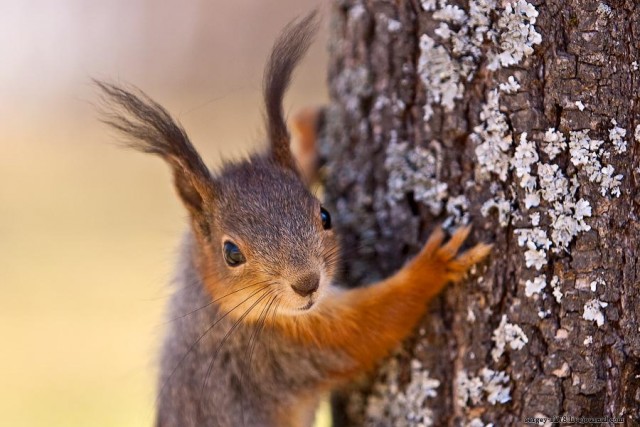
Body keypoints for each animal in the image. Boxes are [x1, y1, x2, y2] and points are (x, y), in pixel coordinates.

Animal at [97, 10, 492, 427]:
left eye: (325, 215)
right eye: (231, 253)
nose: (307, 284)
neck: (213, 297)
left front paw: (306, 133)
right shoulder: (294, 348)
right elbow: (369, 328)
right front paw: (433, 266)